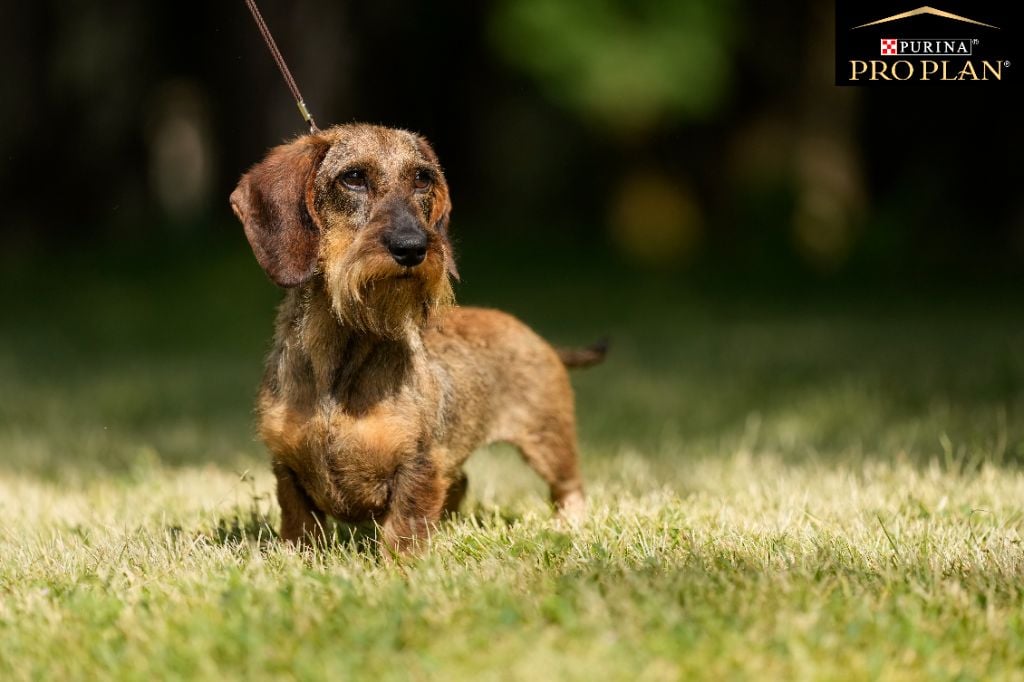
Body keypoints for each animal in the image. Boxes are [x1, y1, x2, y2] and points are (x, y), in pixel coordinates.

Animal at [229, 123, 602, 552]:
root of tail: (538, 339)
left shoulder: (418, 463)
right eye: (353, 177)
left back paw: (568, 527)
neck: (341, 356)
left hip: (548, 440)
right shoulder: (287, 467)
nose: (413, 248)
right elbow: (300, 527)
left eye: (423, 179)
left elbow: (403, 528)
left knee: (568, 488)